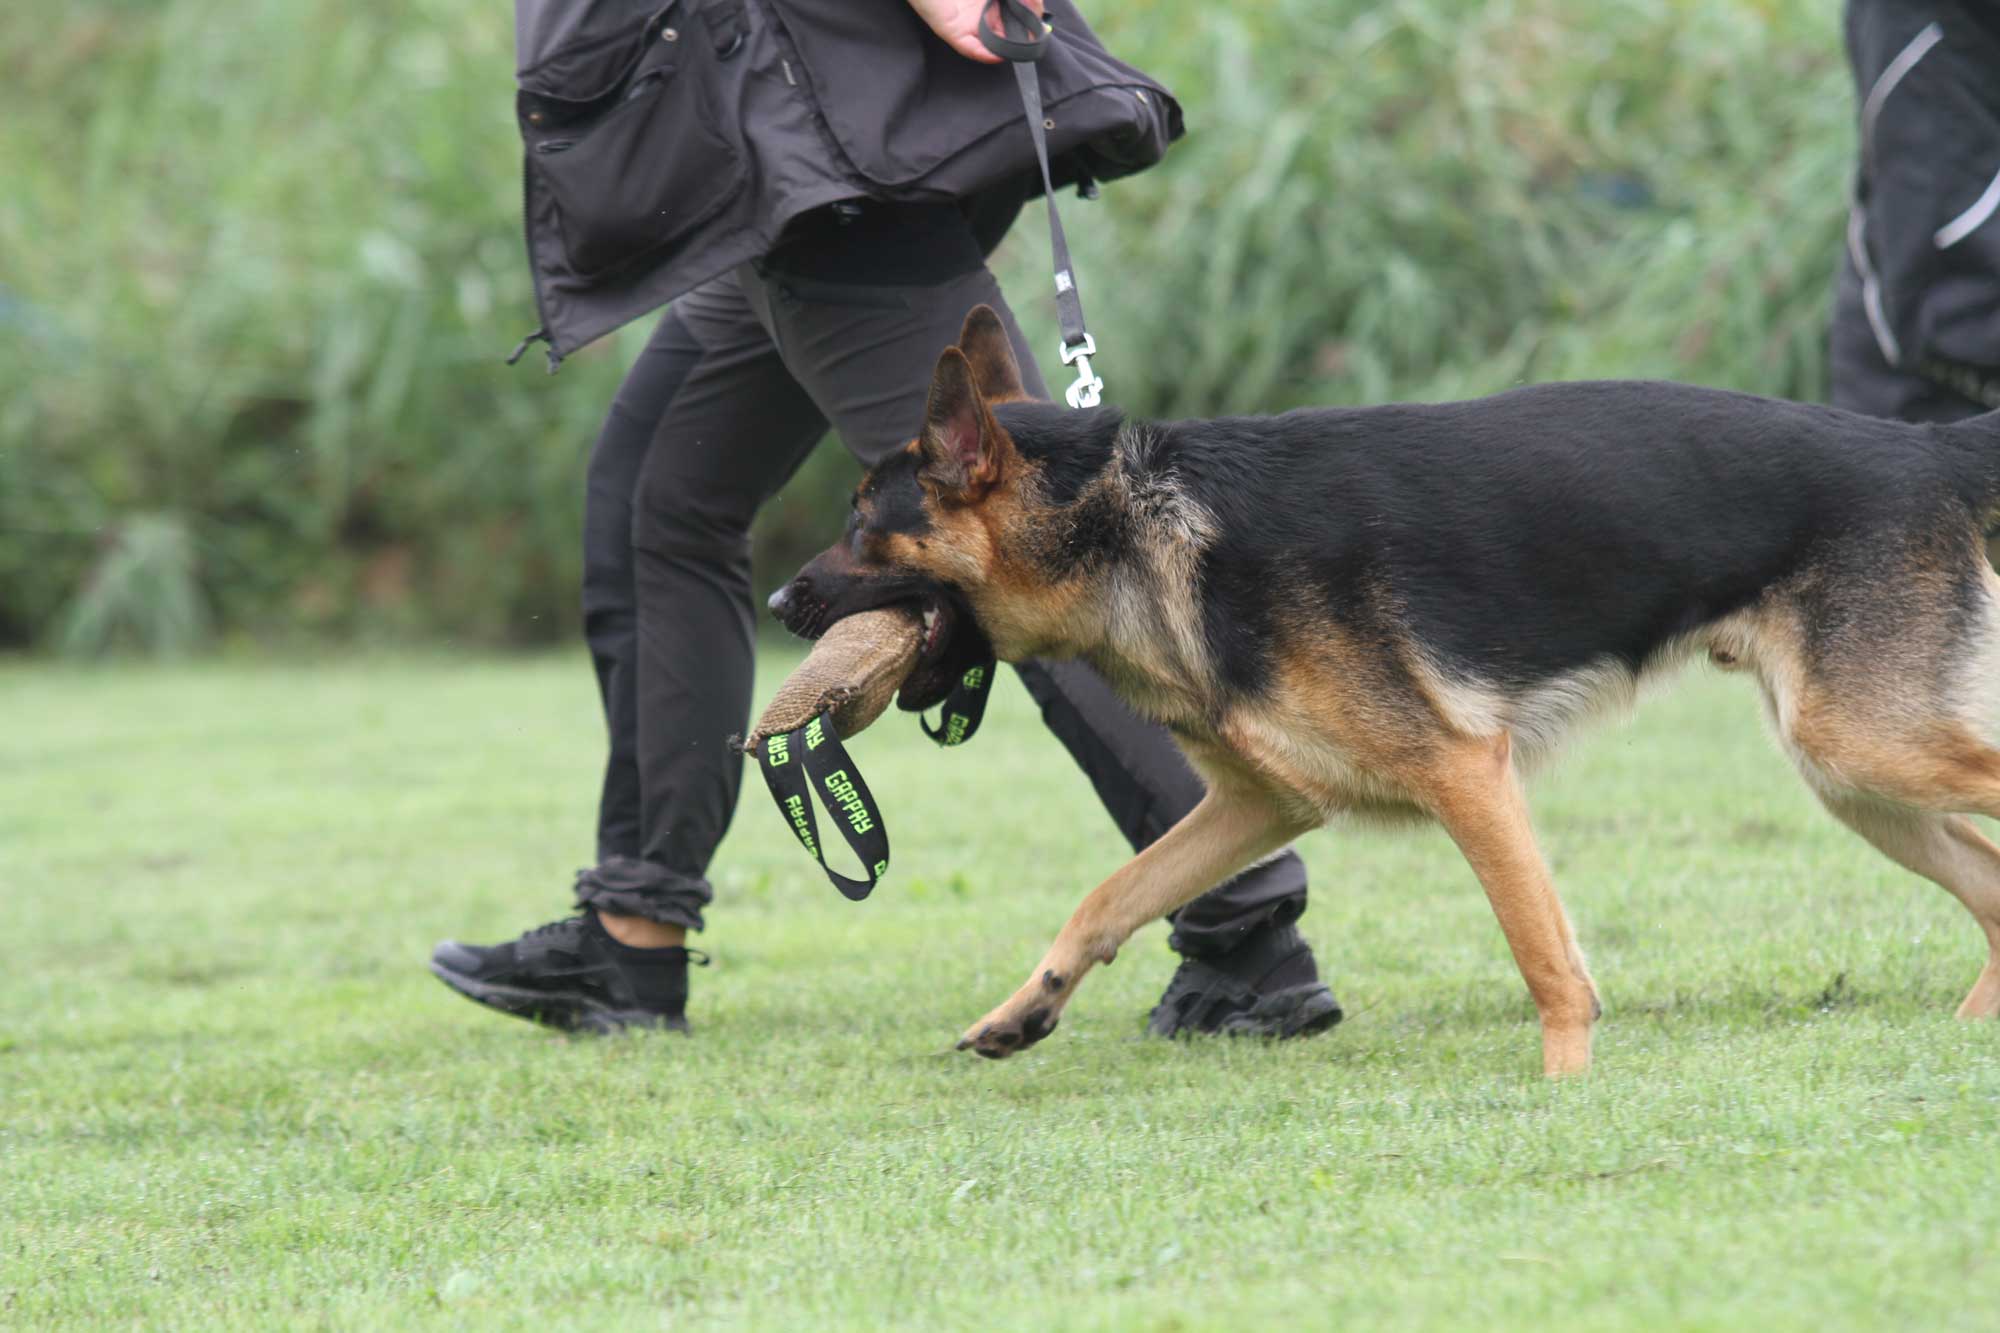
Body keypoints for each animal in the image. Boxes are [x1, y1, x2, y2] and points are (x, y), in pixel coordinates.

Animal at [768, 306, 2000, 1074]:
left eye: (862, 531)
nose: (779, 600)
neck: (1132, 524)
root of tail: (1923, 450)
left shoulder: (1466, 775)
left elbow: (1544, 954)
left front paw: (1565, 1085)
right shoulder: (1257, 804)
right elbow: (1110, 895)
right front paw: (1025, 1009)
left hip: (1862, 744)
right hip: (1854, 779)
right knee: (1988, 881)